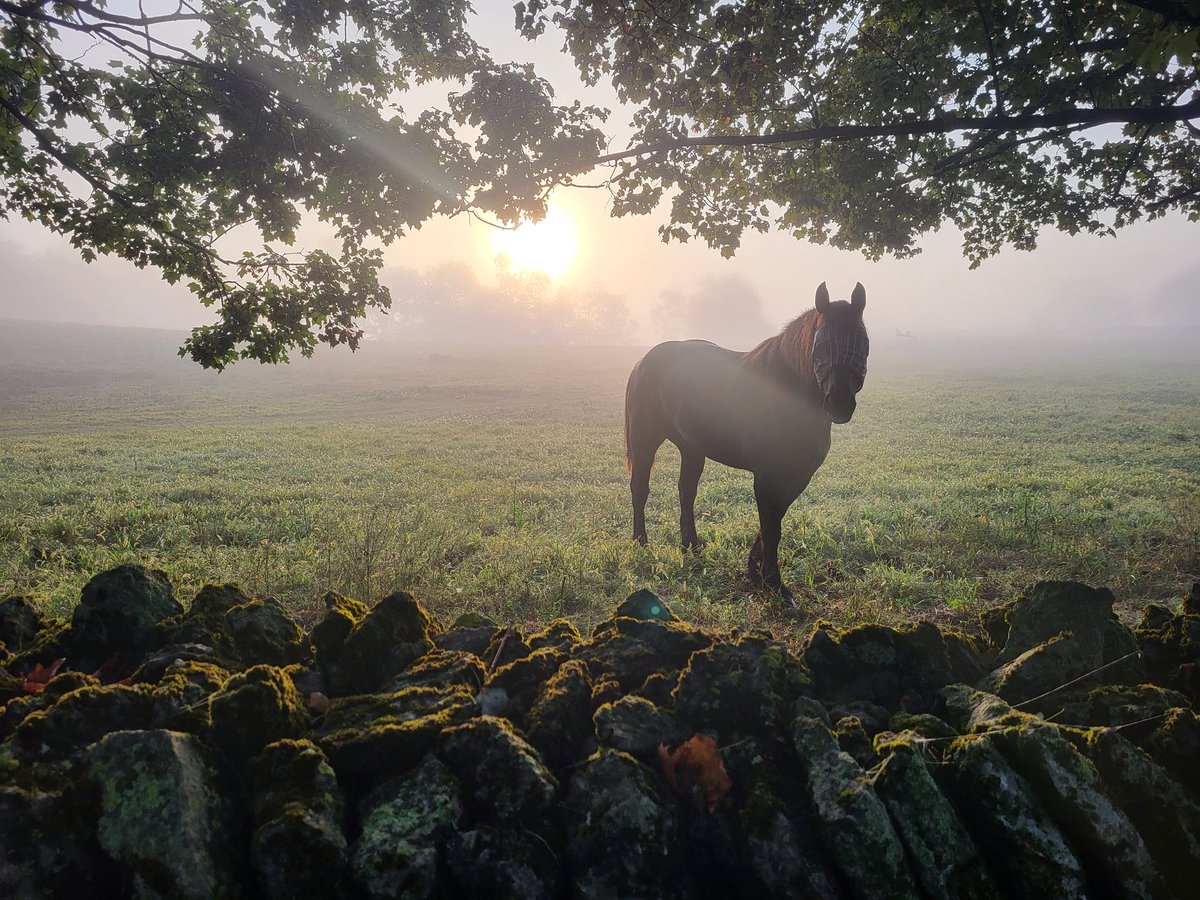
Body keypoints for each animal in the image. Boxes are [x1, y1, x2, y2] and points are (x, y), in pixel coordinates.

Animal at [624, 285, 868, 602]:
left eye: (862, 343)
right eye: (819, 348)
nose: (839, 404)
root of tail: (643, 361)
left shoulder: (797, 474)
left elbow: (771, 522)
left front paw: (754, 572)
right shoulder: (767, 476)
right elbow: (771, 527)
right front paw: (773, 583)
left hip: (692, 448)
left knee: (686, 492)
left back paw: (691, 545)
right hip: (645, 439)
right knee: (640, 489)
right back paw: (640, 542)